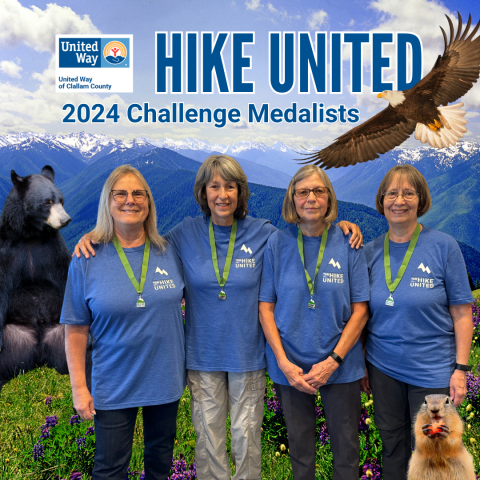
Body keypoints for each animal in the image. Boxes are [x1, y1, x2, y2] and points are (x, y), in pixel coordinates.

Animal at [0, 167, 87, 392]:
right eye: (47, 202)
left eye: (61, 200)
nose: (66, 220)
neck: (30, 235)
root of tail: (40, 356)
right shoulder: (6, 250)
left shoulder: (54, 249)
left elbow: (67, 280)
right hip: (14, 338)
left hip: (64, 334)